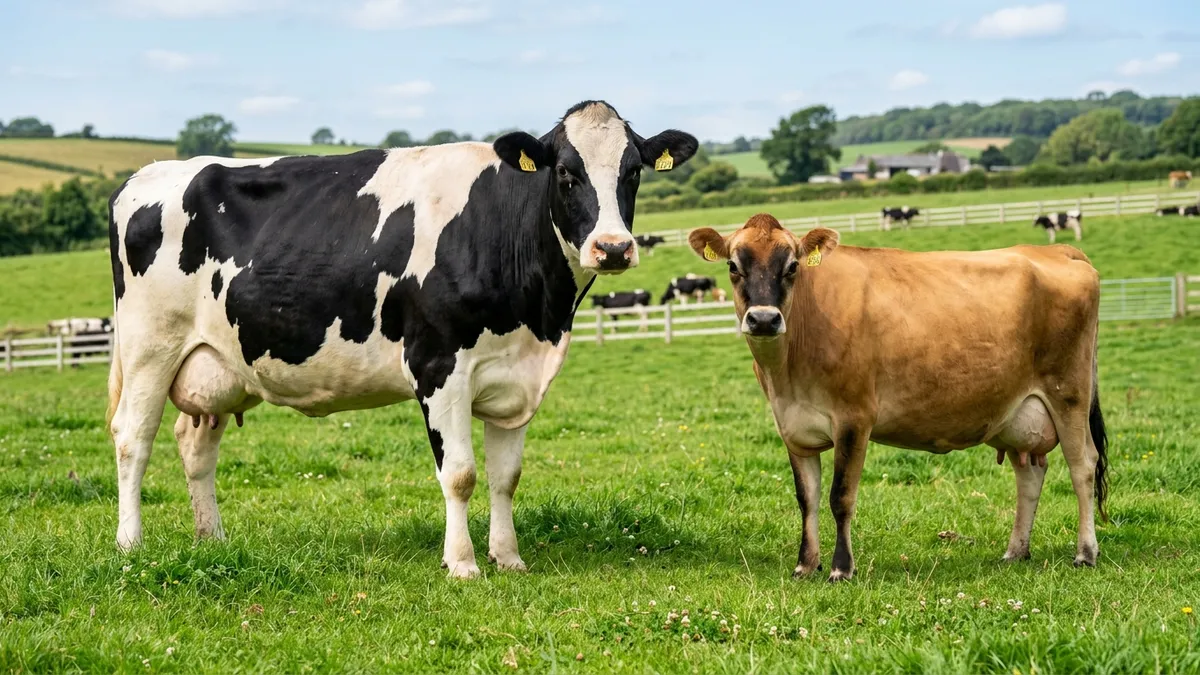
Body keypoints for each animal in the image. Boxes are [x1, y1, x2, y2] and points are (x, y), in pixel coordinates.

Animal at [104, 100, 697, 578]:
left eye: (633, 173)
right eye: (568, 174)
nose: (613, 248)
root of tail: (145, 175)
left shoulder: (516, 378)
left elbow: (506, 478)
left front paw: (509, 558)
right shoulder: (439, 366)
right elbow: (460, 475)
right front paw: (462, 564)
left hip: (217, 362)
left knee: (195, 443)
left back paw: (213, 540)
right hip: (149, 347)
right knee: (133, 437)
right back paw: (130, 544)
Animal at [687, 213, 1107, 582]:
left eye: (792, 267)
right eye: (733, 266)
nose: (763, 319)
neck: (788, 370)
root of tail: (1058, 251)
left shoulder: (854, 418)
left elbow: (840, 497)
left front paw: (841, 568)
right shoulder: (793, 429)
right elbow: (807, 498)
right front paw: (805, 565)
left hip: (1069, 393)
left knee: (1083, 465)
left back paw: (1085, 553)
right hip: (1019, 412)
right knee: (1030, 474)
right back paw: (1015, 551)